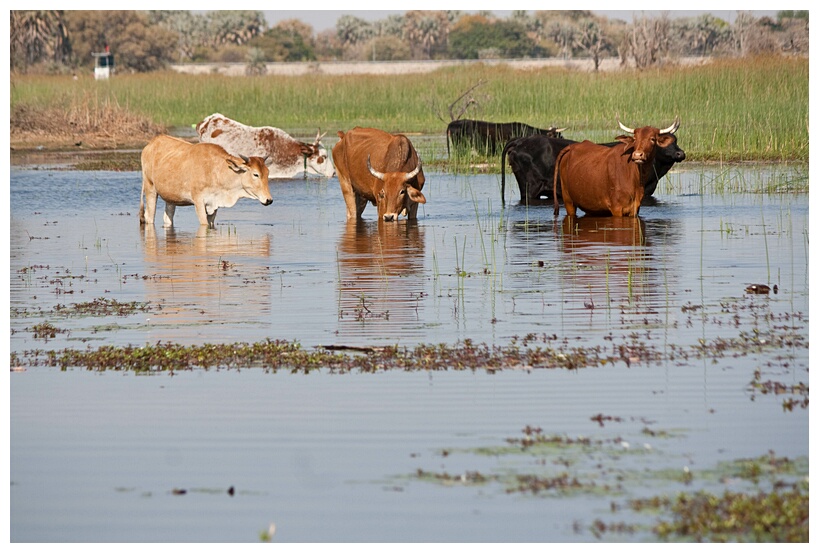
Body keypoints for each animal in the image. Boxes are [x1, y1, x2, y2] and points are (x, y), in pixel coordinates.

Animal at [139, 134, 270, 229]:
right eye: (256, 174)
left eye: (268, 173)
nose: (269, 200)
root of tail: (152, 143)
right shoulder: (199, 202)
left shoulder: (214, 205)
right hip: (150, 188)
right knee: (149, 217)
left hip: (170, 198)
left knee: (168, 218)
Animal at [556, 116, 684, 218]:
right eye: (635, 139)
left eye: (652, 139)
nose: (637, 155)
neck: (634, 177)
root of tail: (572, 146)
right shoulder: (616, 208)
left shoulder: (635, 208)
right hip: (568, 201)